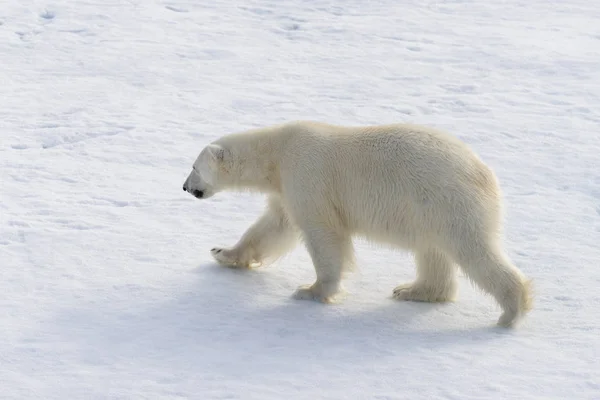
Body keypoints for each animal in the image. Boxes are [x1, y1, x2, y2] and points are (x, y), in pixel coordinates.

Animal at [184, 122, 536, 328]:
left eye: (194, 167)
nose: (186, 188)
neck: (278, 152)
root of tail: (485, 174)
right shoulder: (286, 188)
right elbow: (273, 226)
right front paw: (223, 253)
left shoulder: (307, 175)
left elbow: (322, 233)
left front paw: (311, 291)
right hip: (429, 212)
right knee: (432, 252)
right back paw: (413, 290)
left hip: (447, 202)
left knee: (473, 251)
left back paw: (511, 312)